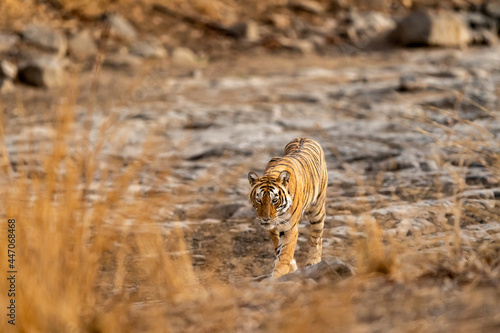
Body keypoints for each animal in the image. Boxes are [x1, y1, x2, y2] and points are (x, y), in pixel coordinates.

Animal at [249, 136, 328, 276]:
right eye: (258, 200)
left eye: (274, 200)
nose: (265, 219)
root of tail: (305, 137)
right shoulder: (274, 227)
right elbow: (278, 246)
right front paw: (291, 265)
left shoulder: (290, 227)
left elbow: (285, 253)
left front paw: (277, 275)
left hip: (317, 209)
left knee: (316, 236)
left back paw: (313, 261)